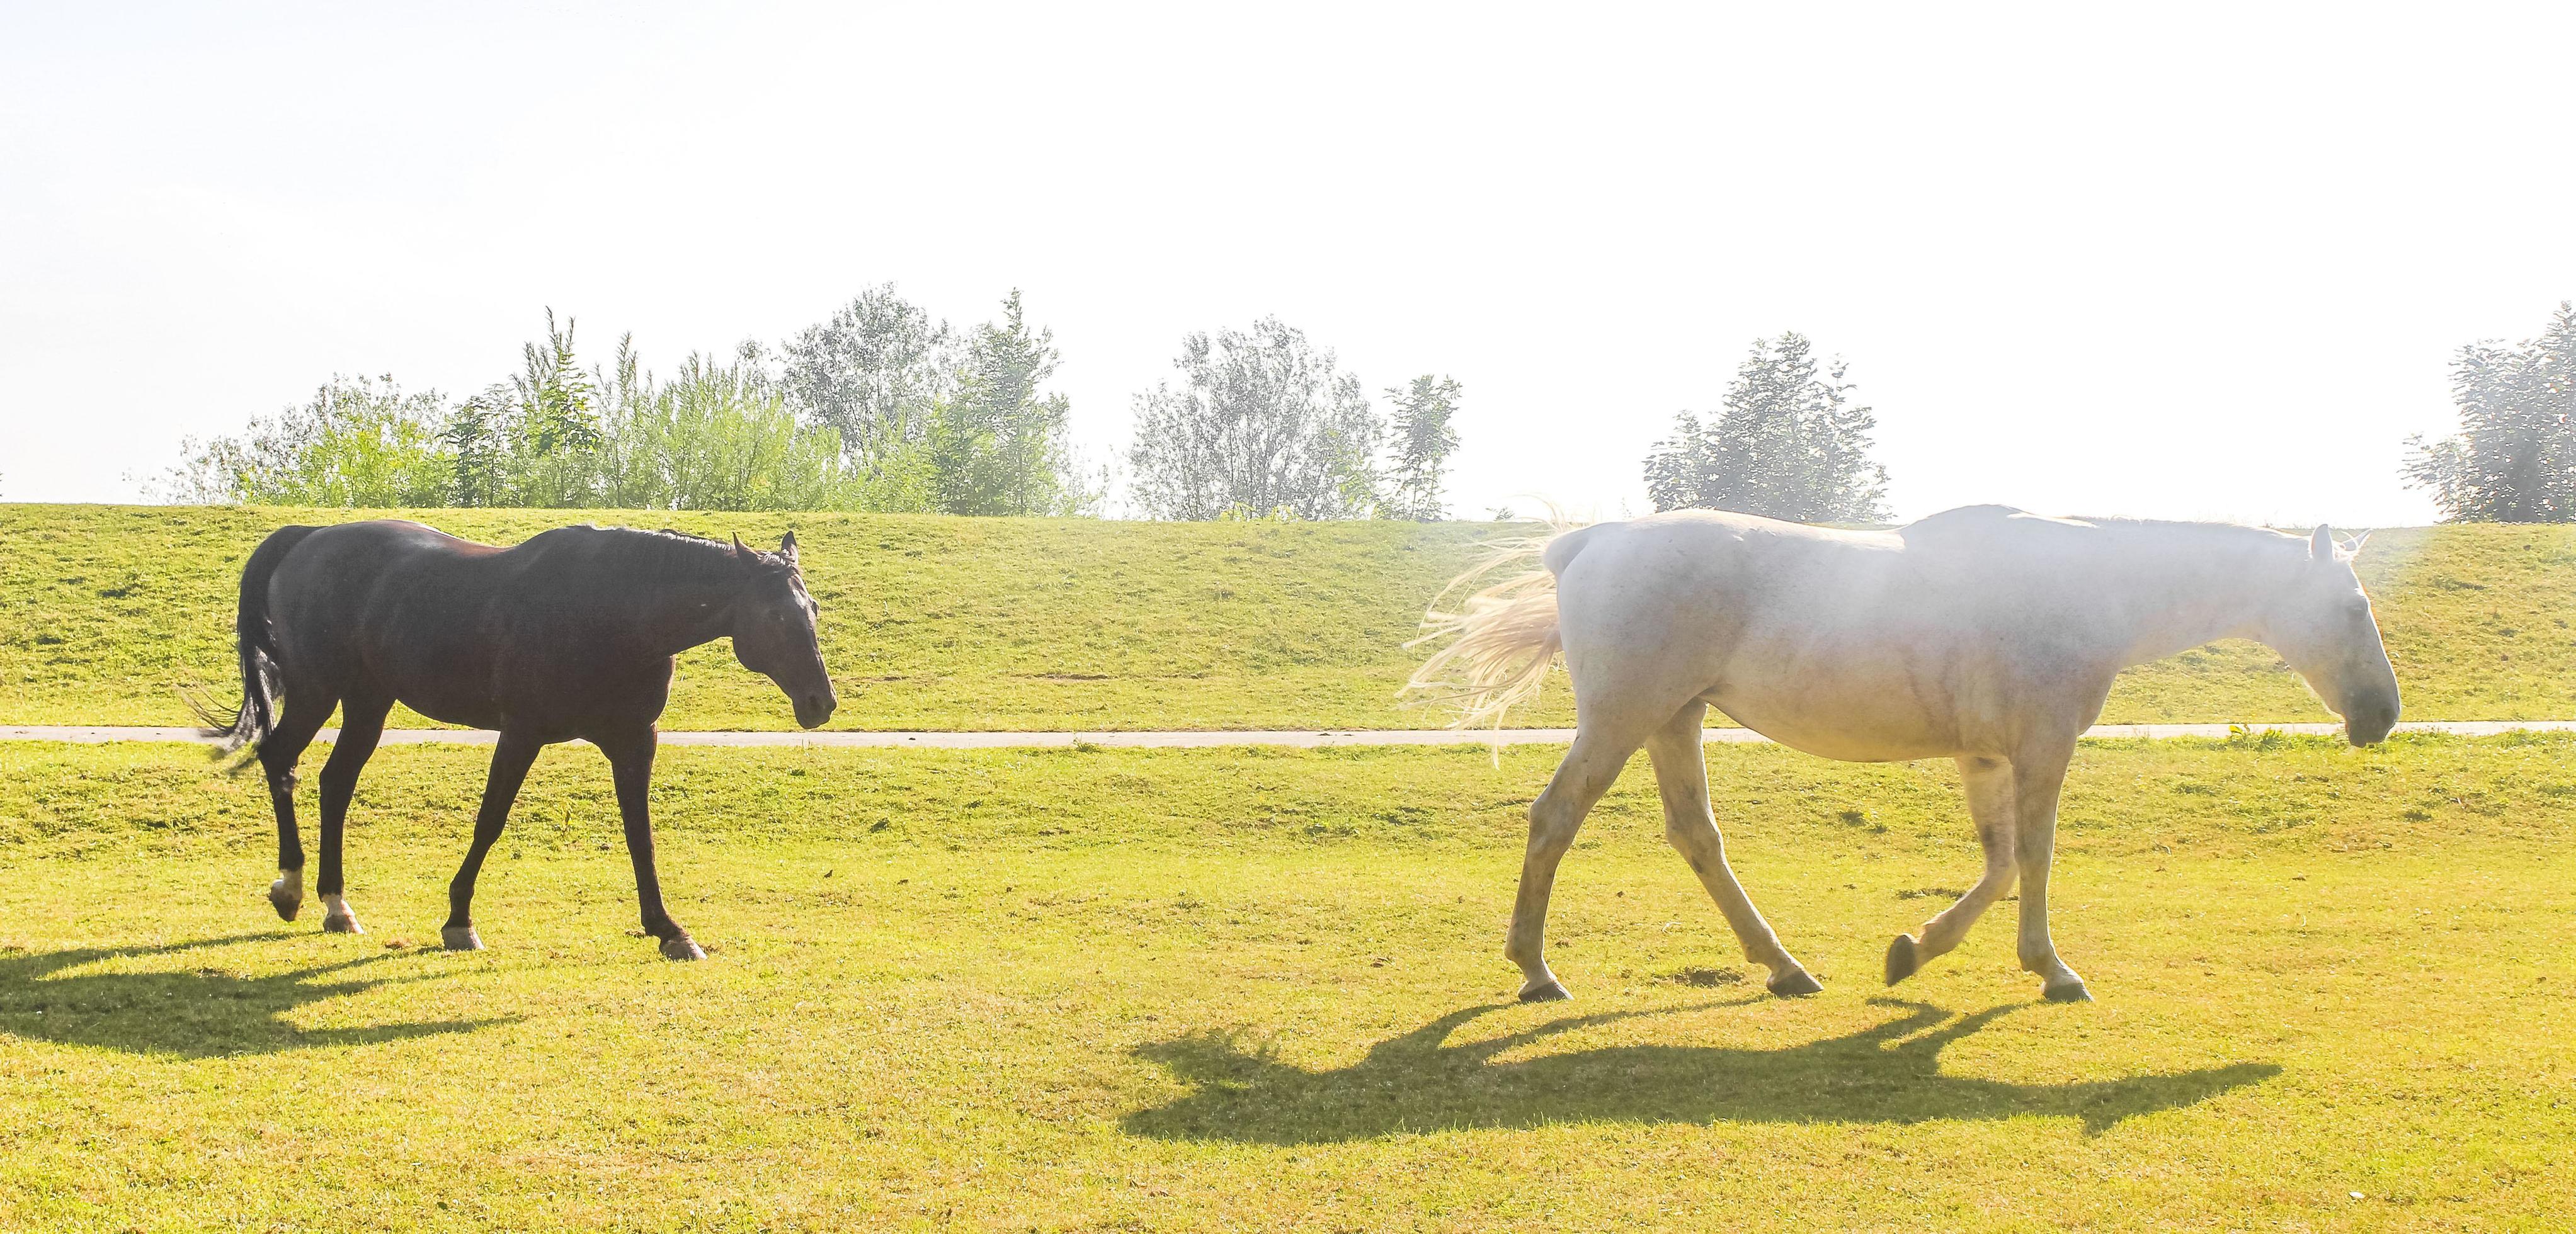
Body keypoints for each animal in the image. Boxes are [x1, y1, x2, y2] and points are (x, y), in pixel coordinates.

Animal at [195, 518, 835, 963]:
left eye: (813, 609)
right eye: (777, 617)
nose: (820, 703)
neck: (613, 608)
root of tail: (311, 537)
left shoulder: (635, 742)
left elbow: (641, 839)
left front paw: (668, 929)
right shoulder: (522, 733)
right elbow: (490, 822)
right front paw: (459, 920)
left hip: (368, 703)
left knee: (335, 784)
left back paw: (336, 904)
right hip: (317, 692)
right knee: (280, 761)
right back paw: (291, 888)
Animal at [1411, 505, 2390, 1004]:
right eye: (2352, 606)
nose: (2382, 713)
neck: (2084, 584)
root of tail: (1589, 541)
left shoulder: (1985, 759)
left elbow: (2000, 865)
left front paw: (1914, 950)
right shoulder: (2040, 747)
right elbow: (2034, 859)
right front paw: (2052, 970)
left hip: (1672, 722)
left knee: (1696, 838)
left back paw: (1784, 967)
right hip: (1622, 722)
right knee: (1554, 820)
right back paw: (1536, 971)